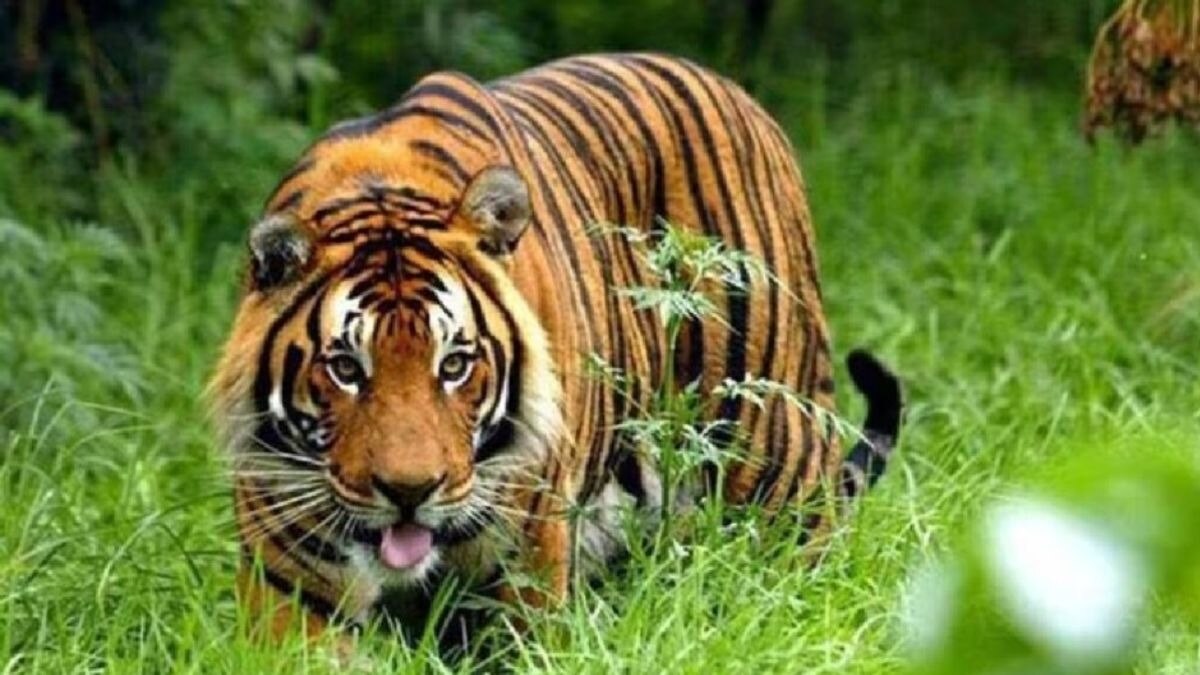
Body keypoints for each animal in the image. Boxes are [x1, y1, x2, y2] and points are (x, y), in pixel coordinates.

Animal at [209, 52, 902, 645]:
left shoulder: (525, 565)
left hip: (773, 459)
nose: (410, 492)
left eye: (454, 365)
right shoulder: (293, 590)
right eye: (347, 369)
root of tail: (738, 93)